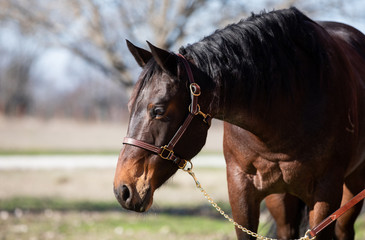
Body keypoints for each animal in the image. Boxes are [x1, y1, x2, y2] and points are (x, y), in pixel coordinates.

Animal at [114, 7, 364, 240]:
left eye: (158, 110)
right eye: (129, 106)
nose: (123, 190)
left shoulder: (326, 193)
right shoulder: (240, 188)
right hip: (281, 198)